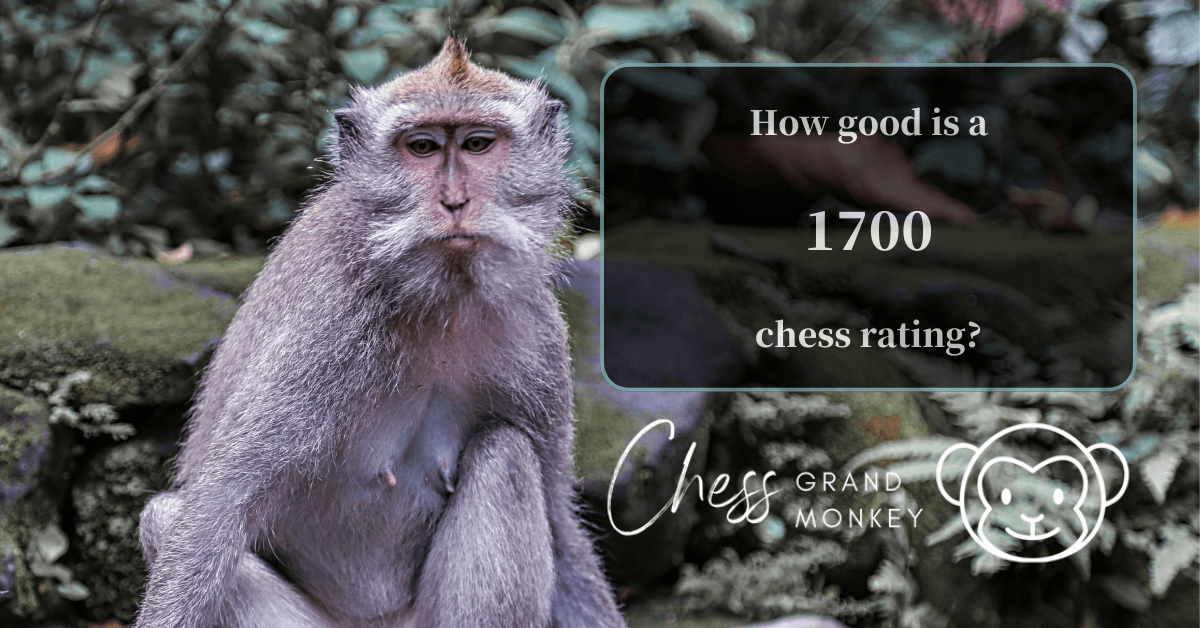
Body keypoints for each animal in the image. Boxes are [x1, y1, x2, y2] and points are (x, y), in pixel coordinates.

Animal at [134, 38, 628, 628]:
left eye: (478, 144)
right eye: (422, 147)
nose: (455, 202)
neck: (439, 300)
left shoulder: (536, 333)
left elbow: (558, 518)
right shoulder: (326, 326)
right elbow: (215, 511)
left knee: (506, 453)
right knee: (166, 520)